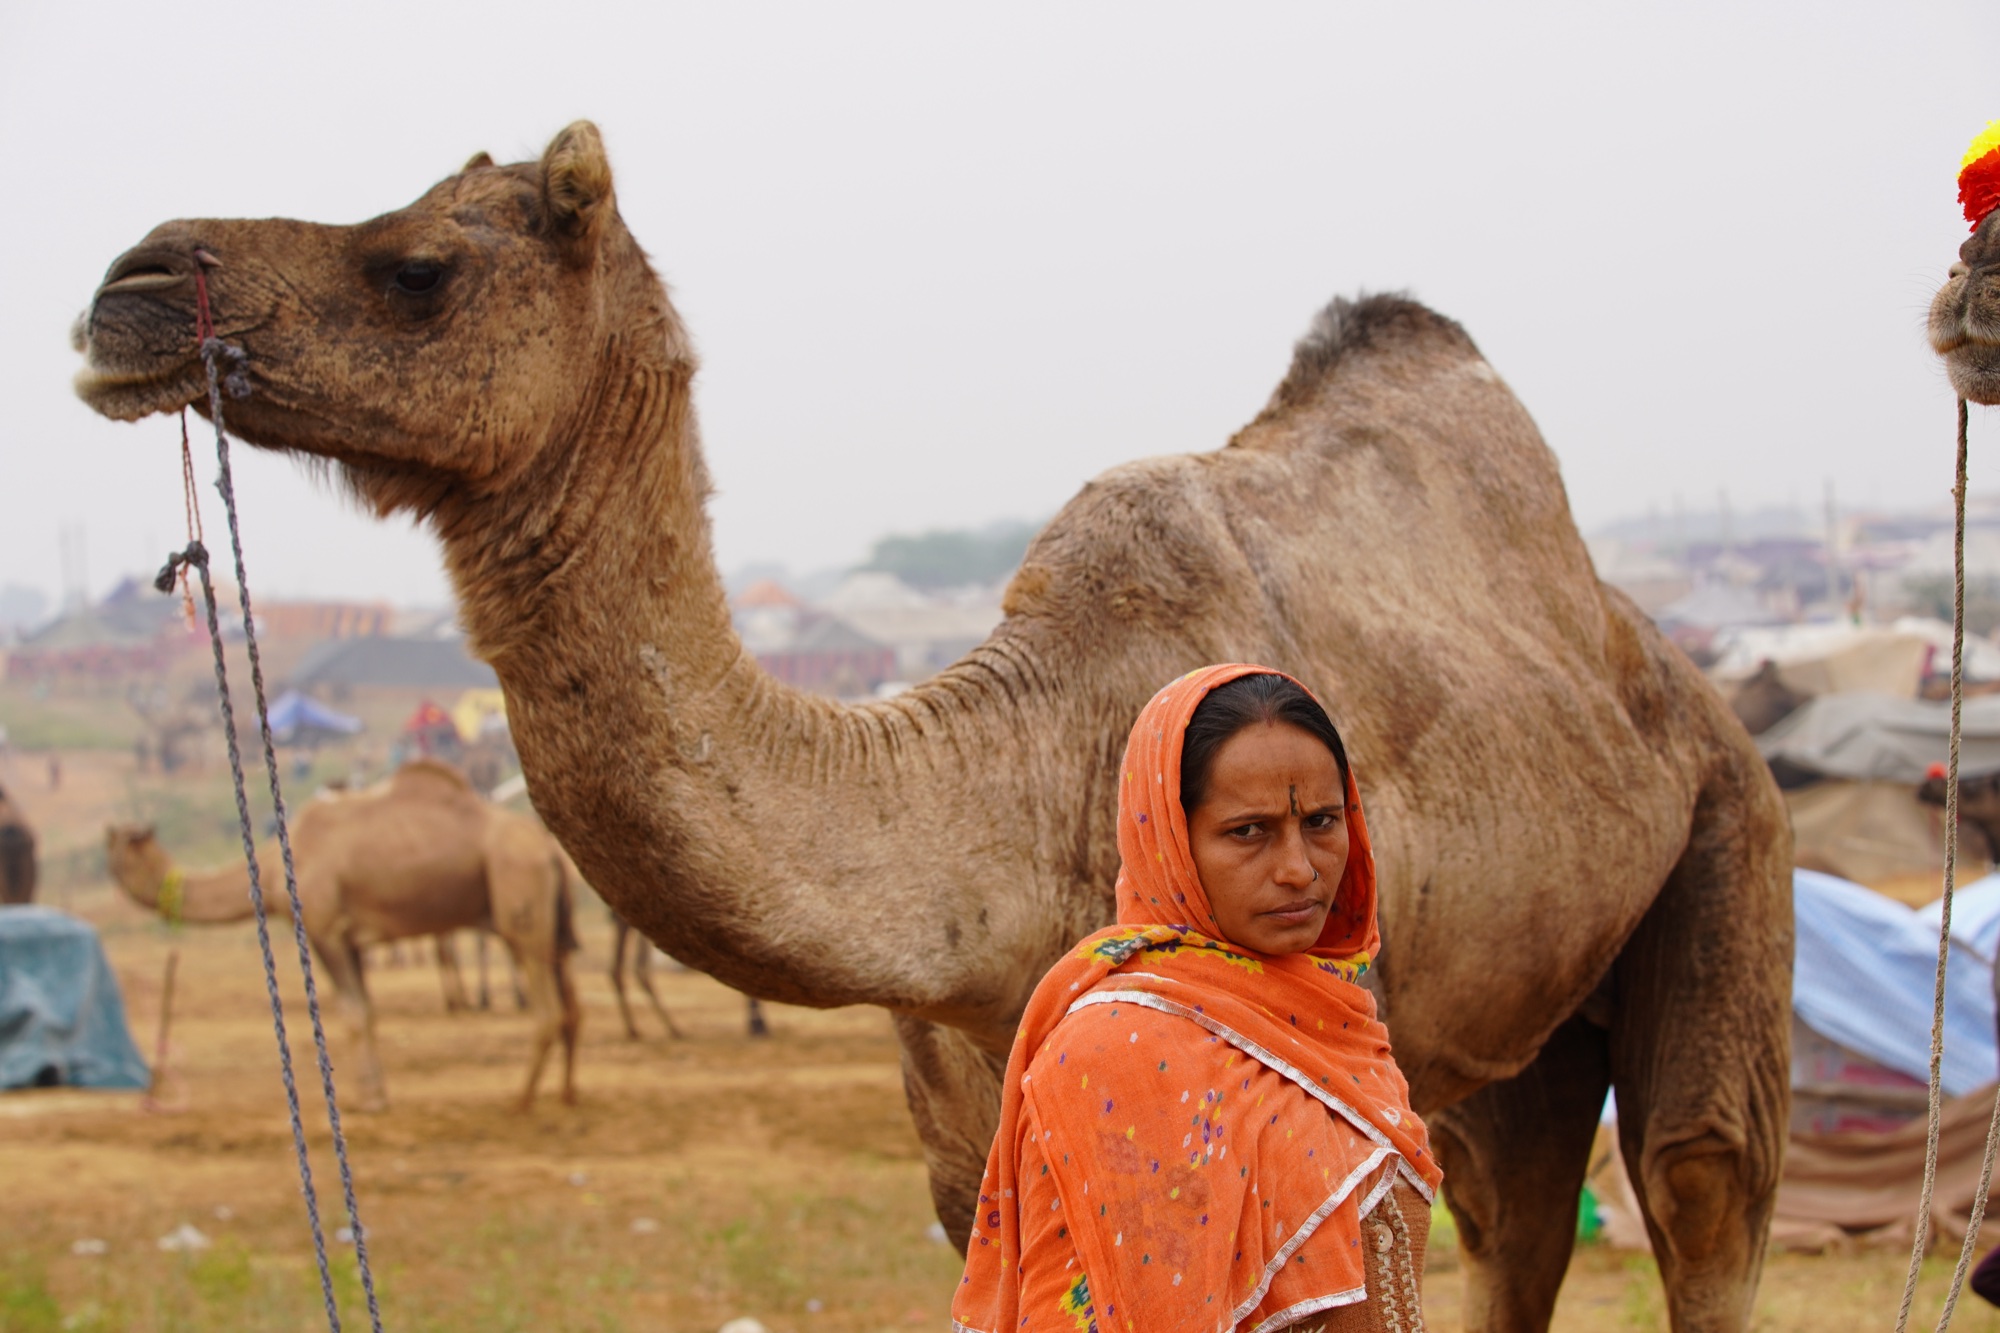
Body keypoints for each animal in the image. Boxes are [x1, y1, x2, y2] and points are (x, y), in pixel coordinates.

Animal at [103, 760, 580, 1111]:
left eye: (115, 846)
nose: (104, 840)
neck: (277, 865)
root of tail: (547, 849)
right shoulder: (351, 939)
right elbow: (367, 1012)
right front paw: (378, 1091)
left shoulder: (324, 929)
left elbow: (350, 1013)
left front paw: (368, 1099)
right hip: (548, 920)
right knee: (571, 1004)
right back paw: (565, 1094)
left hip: (517, 899)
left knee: (548, 1010)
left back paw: (521, 1099)